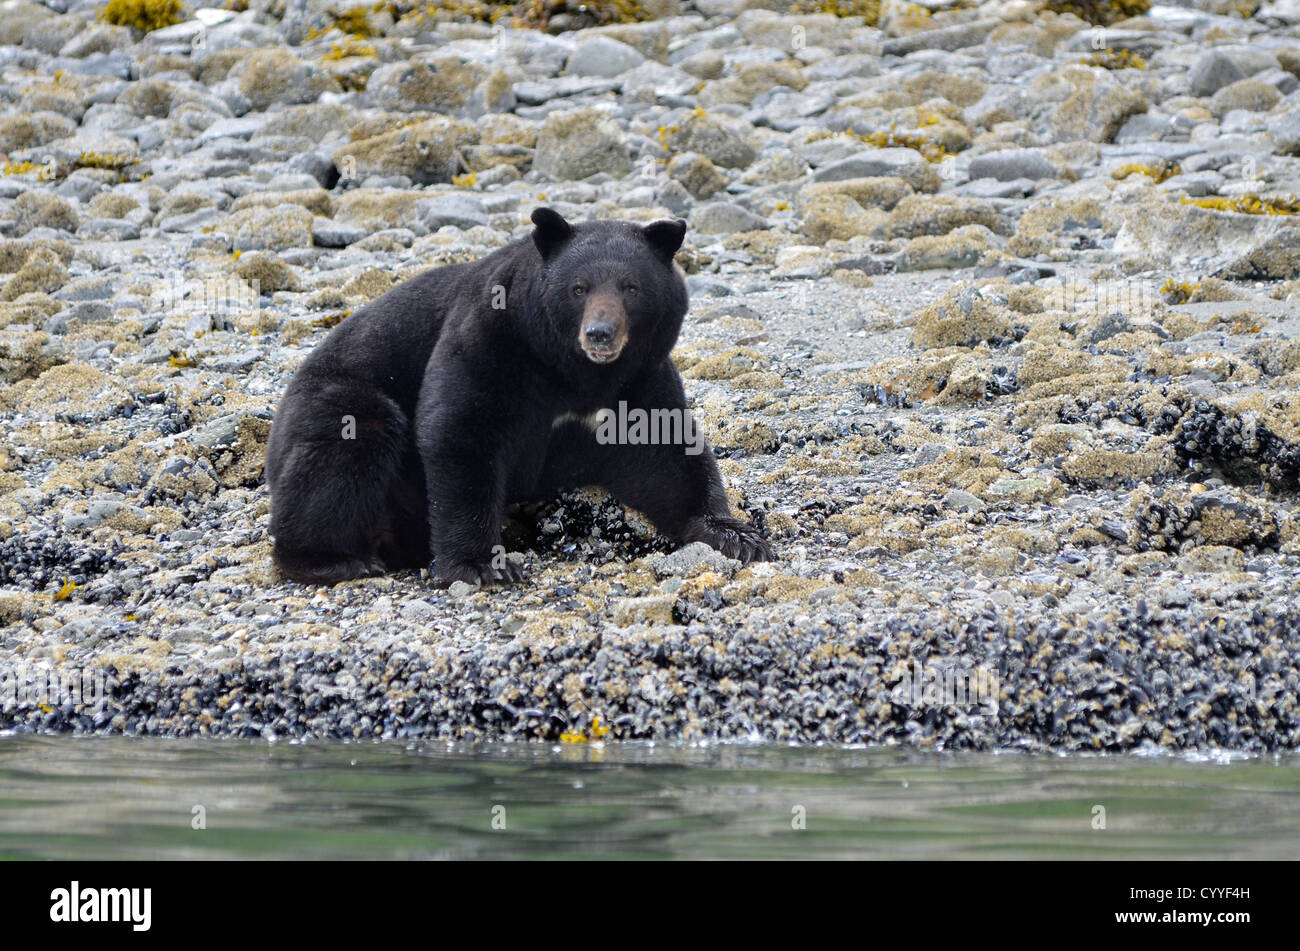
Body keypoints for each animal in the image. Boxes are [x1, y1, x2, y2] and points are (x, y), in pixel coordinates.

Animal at [264, 207, 772, 586]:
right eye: (579, 287)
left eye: (631, 287)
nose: (600, 333)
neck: (574, 373)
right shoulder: (491, 342)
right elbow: (461, 432)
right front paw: (482, 564)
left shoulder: (638, 378)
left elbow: (666, 450)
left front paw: (737, 534)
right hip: (339, 397)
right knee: (351, 442)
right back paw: (334, 559)